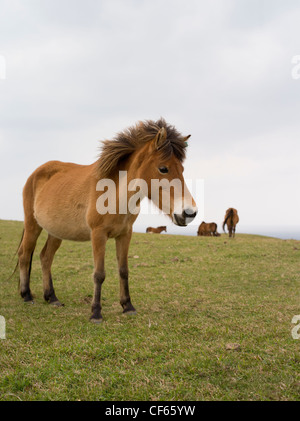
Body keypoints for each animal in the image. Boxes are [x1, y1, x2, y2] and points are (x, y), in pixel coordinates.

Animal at [17, 118, 198, 322]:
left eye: (182, 169)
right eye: (163, 168)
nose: (189, 213)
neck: (114, 195)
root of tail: (36, 172)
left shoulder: (125, 235)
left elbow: (124, 270)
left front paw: (127, 306)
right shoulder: (98, 235)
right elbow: (99, 274)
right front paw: (96, 312)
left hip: (55, 232)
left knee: (46, 257)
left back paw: (52, 297)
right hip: (32, 225)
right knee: (25, 254)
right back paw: (27, 295)